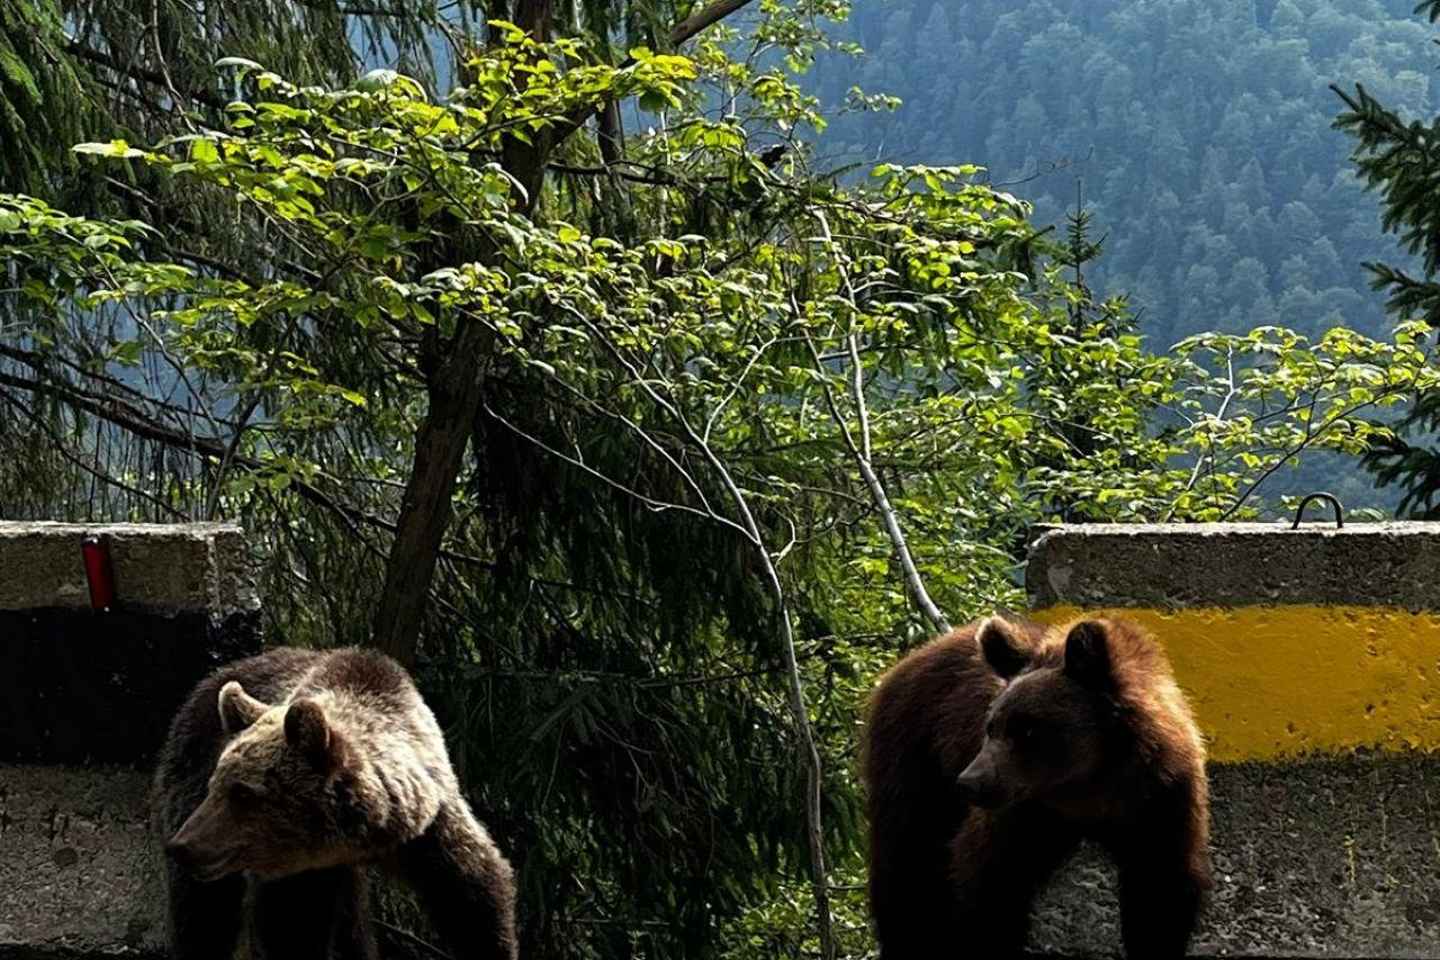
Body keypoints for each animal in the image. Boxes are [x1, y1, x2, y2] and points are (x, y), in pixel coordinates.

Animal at [152, 645, 518, 960]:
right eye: (216, 786)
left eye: (242, 792)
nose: (183, 845)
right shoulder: (300, 871)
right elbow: (291, 928)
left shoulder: (430, 828)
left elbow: (475, 898)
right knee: (202, 911)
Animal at [861, 614, 1209, 959]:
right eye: (991, 726)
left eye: (1027, 730)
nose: (970, 782)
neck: (1089, 790)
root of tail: (913, 657)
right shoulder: (1023, 815)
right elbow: (988, 884)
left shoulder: (1160, 801)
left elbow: (1159, 895)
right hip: (914, 761)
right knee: (905, 864)